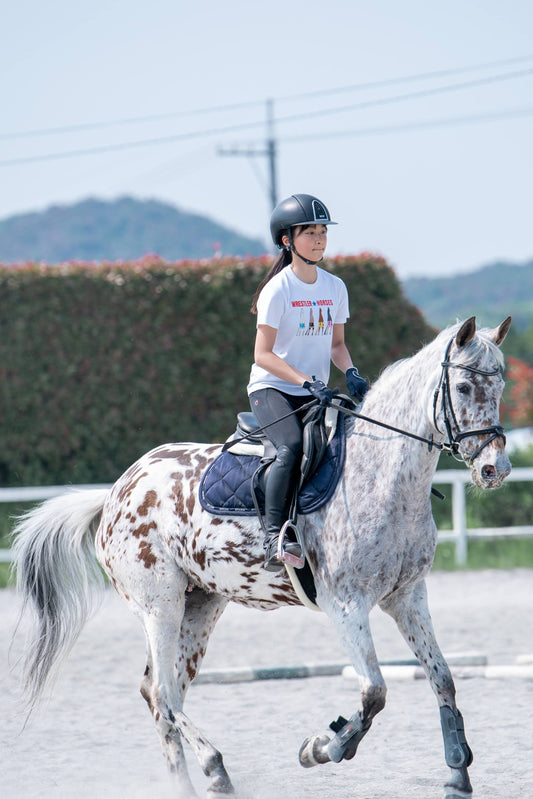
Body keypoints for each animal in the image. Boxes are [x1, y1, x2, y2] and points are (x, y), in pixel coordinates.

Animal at [12, 315, 512, 799]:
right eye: (463, 387)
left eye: (501, 384)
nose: (495, 469)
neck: (381, 476)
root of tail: (117, 489)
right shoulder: (345, 605)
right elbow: (374, 692)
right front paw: (320, 747)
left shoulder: (408, 597)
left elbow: (442, 678)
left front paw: (457, 775)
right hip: (159, 605)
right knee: (164, 693)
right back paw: (215, 767)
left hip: (200, 605)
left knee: (161, 693)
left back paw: (187, 783)